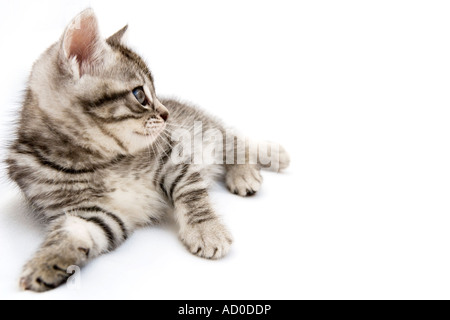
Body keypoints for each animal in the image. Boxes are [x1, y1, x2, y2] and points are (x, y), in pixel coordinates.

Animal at [7, 8, 290, 292]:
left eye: (152, 93)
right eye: (140, 95)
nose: (165, 114)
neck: (100, 162)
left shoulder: (174, 158)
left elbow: (192, 195)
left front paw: (207, 231)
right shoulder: (94, 211)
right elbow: (74, 232)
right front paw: (46, 261)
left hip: (205, 129)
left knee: (233, 138)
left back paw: (253, 168)